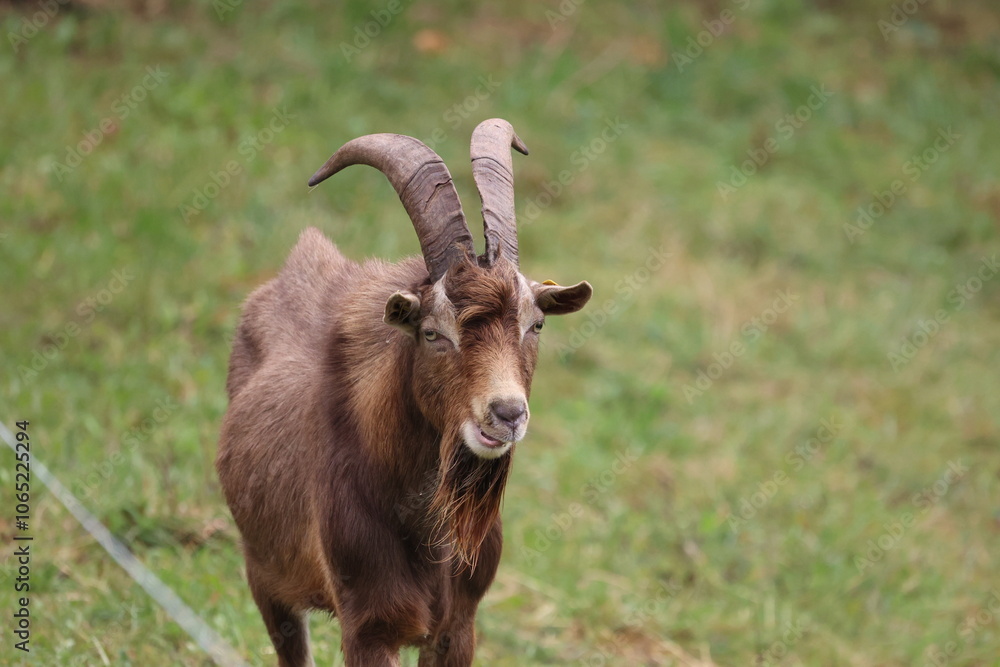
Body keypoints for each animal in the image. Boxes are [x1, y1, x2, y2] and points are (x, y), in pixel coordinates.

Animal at [216, 118, 592, 666]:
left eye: (536, 324)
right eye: (432, 332)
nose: (506, 414)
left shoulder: (457, 626)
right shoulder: (369, 627)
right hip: (265, 575)